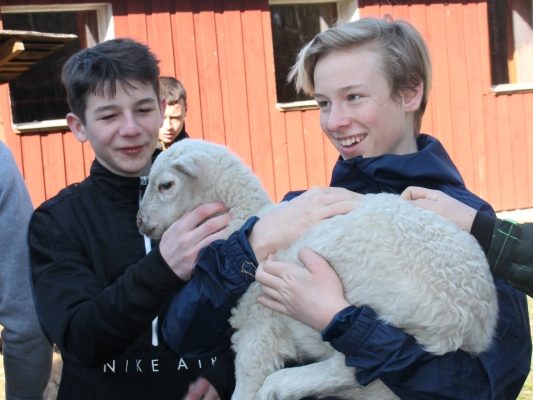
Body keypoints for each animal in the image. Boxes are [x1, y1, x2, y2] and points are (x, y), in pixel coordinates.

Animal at [137, 138, 498, 400]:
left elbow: (247, 383)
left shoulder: (258, 325)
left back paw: (282, 385)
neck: (245, 218)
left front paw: (260, 389)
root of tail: (476, 317)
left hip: (378, 291)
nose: (141, 222)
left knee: (355, 361)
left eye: (165, 185)